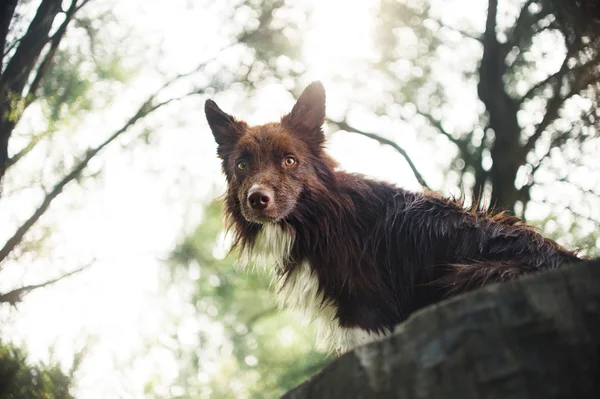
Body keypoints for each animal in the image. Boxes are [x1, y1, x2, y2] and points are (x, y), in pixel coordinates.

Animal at [205, 80, 580, 354]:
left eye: (289, 160)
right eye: (242, 165)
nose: (258, 199)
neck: (321, 216)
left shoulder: (367, 314)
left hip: (469, 274)